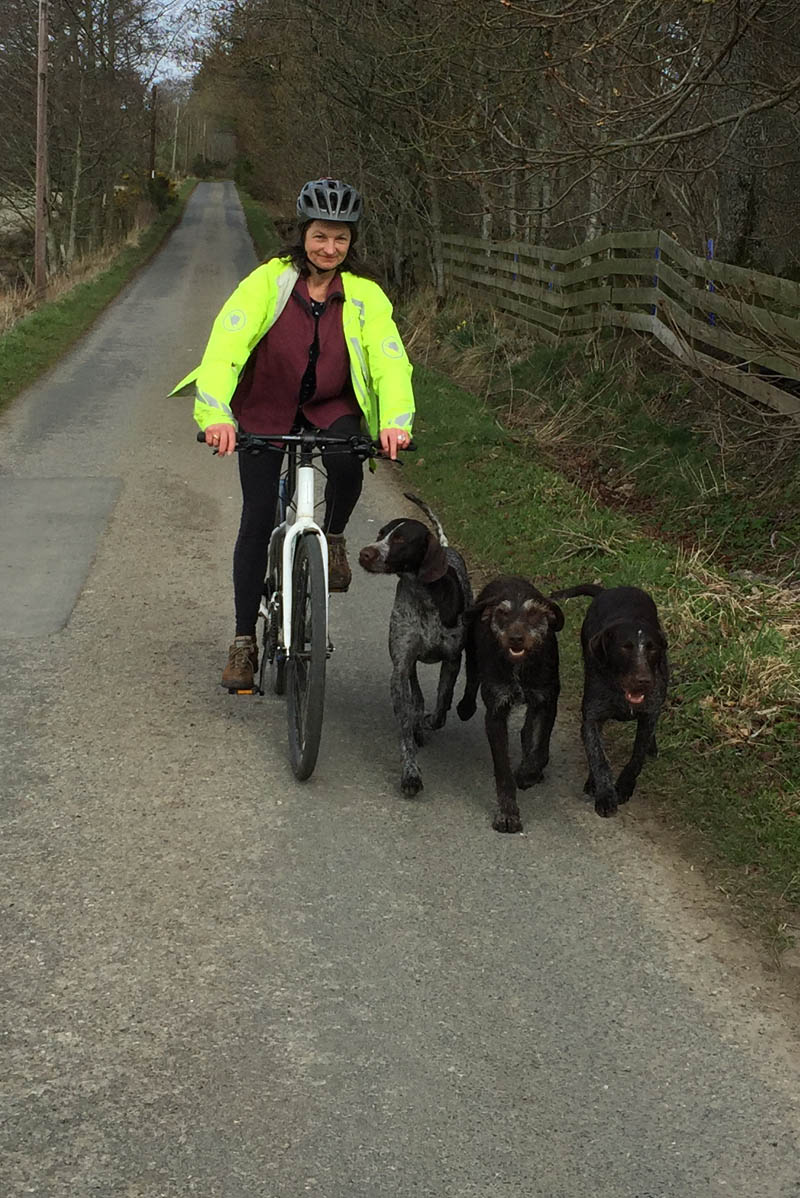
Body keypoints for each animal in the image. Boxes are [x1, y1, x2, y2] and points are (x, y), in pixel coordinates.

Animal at [359, 491, 471, 800]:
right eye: (380, 534)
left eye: (400, 540)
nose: (365, 553)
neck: (423, 595)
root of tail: (446, 548)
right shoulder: (400, 666)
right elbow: (407, 724)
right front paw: (410, 773)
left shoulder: (453, 659)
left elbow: (442, 704)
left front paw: (429, 722)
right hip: (408, 666)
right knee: (417, 696)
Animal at [455, 575, 562, 829]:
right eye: (502, 613)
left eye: (533, 613)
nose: (516, 638)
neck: (519, 668)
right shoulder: (496, 711)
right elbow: (503, 769)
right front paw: (508, 812)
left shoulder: (546, 700)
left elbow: (539, 747)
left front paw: (528, 773)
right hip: (472, 653)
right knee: (472, 679)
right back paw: (465, 706)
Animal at [550, 584, 670, 819]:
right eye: (625, 647)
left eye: (651, 647)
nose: (644, 680)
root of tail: (609, 589)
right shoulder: (592, 719)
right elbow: (598, 757)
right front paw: (605, 794)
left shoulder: (649, 713)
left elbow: (637, 757)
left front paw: (624, 786)